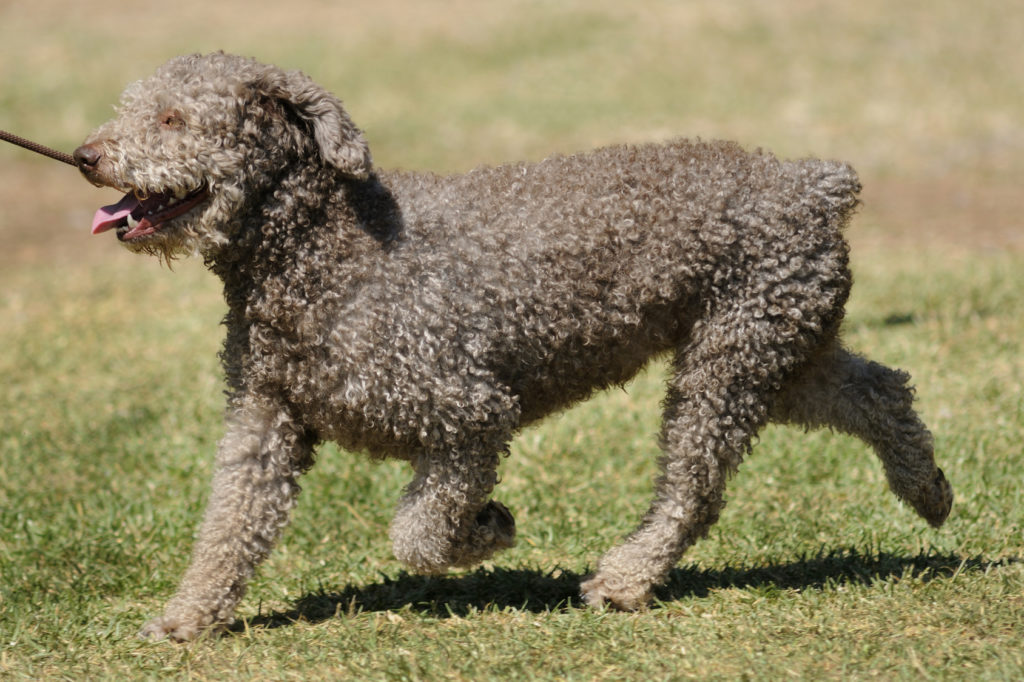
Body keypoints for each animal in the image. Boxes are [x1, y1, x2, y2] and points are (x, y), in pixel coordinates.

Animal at [74, 51, 950, 638]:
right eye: (131, 106)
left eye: (172, 119)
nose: (86, 155)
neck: (323, 255)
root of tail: (813, 182)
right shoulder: (265, 420)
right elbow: (230, 525)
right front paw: (187, 618)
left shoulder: (468, 412)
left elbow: (419, 534)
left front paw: (490, 529)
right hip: (781, 345)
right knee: (881, 388)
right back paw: (928, 491)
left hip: (728, 362)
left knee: (695, 488)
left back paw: (625, 579)